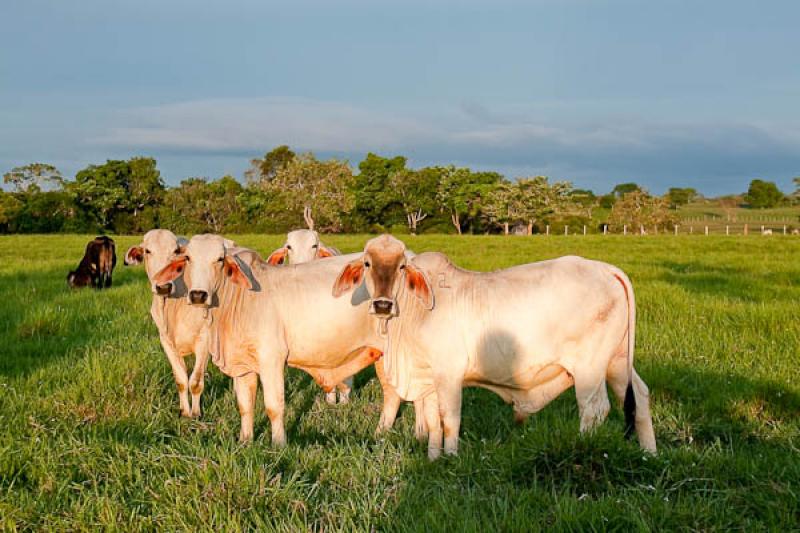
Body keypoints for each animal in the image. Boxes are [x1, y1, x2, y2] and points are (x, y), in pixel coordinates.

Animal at [152, 235, 412, 446]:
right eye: (188, 258)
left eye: (219, 259)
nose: (198, 295)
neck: (237, 300)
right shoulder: (242, 366)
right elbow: (245, 405)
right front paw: (245, 441)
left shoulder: (272, 359)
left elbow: (274, 406)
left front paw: (278, 444)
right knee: (392, 394)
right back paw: (380, 433)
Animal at [332, 235, 656, 460]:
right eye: (367, 263)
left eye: (401, 266)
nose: (382, 305)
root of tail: (608, 269)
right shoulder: (426, 376)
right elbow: (431, 420)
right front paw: (432, 458)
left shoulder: (449, 373)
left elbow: (449, 419)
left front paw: (450, 458)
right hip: (617, 362)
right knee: (639, 397)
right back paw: (649, 455)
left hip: (589, 368)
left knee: (594, 409)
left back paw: (584, 447)